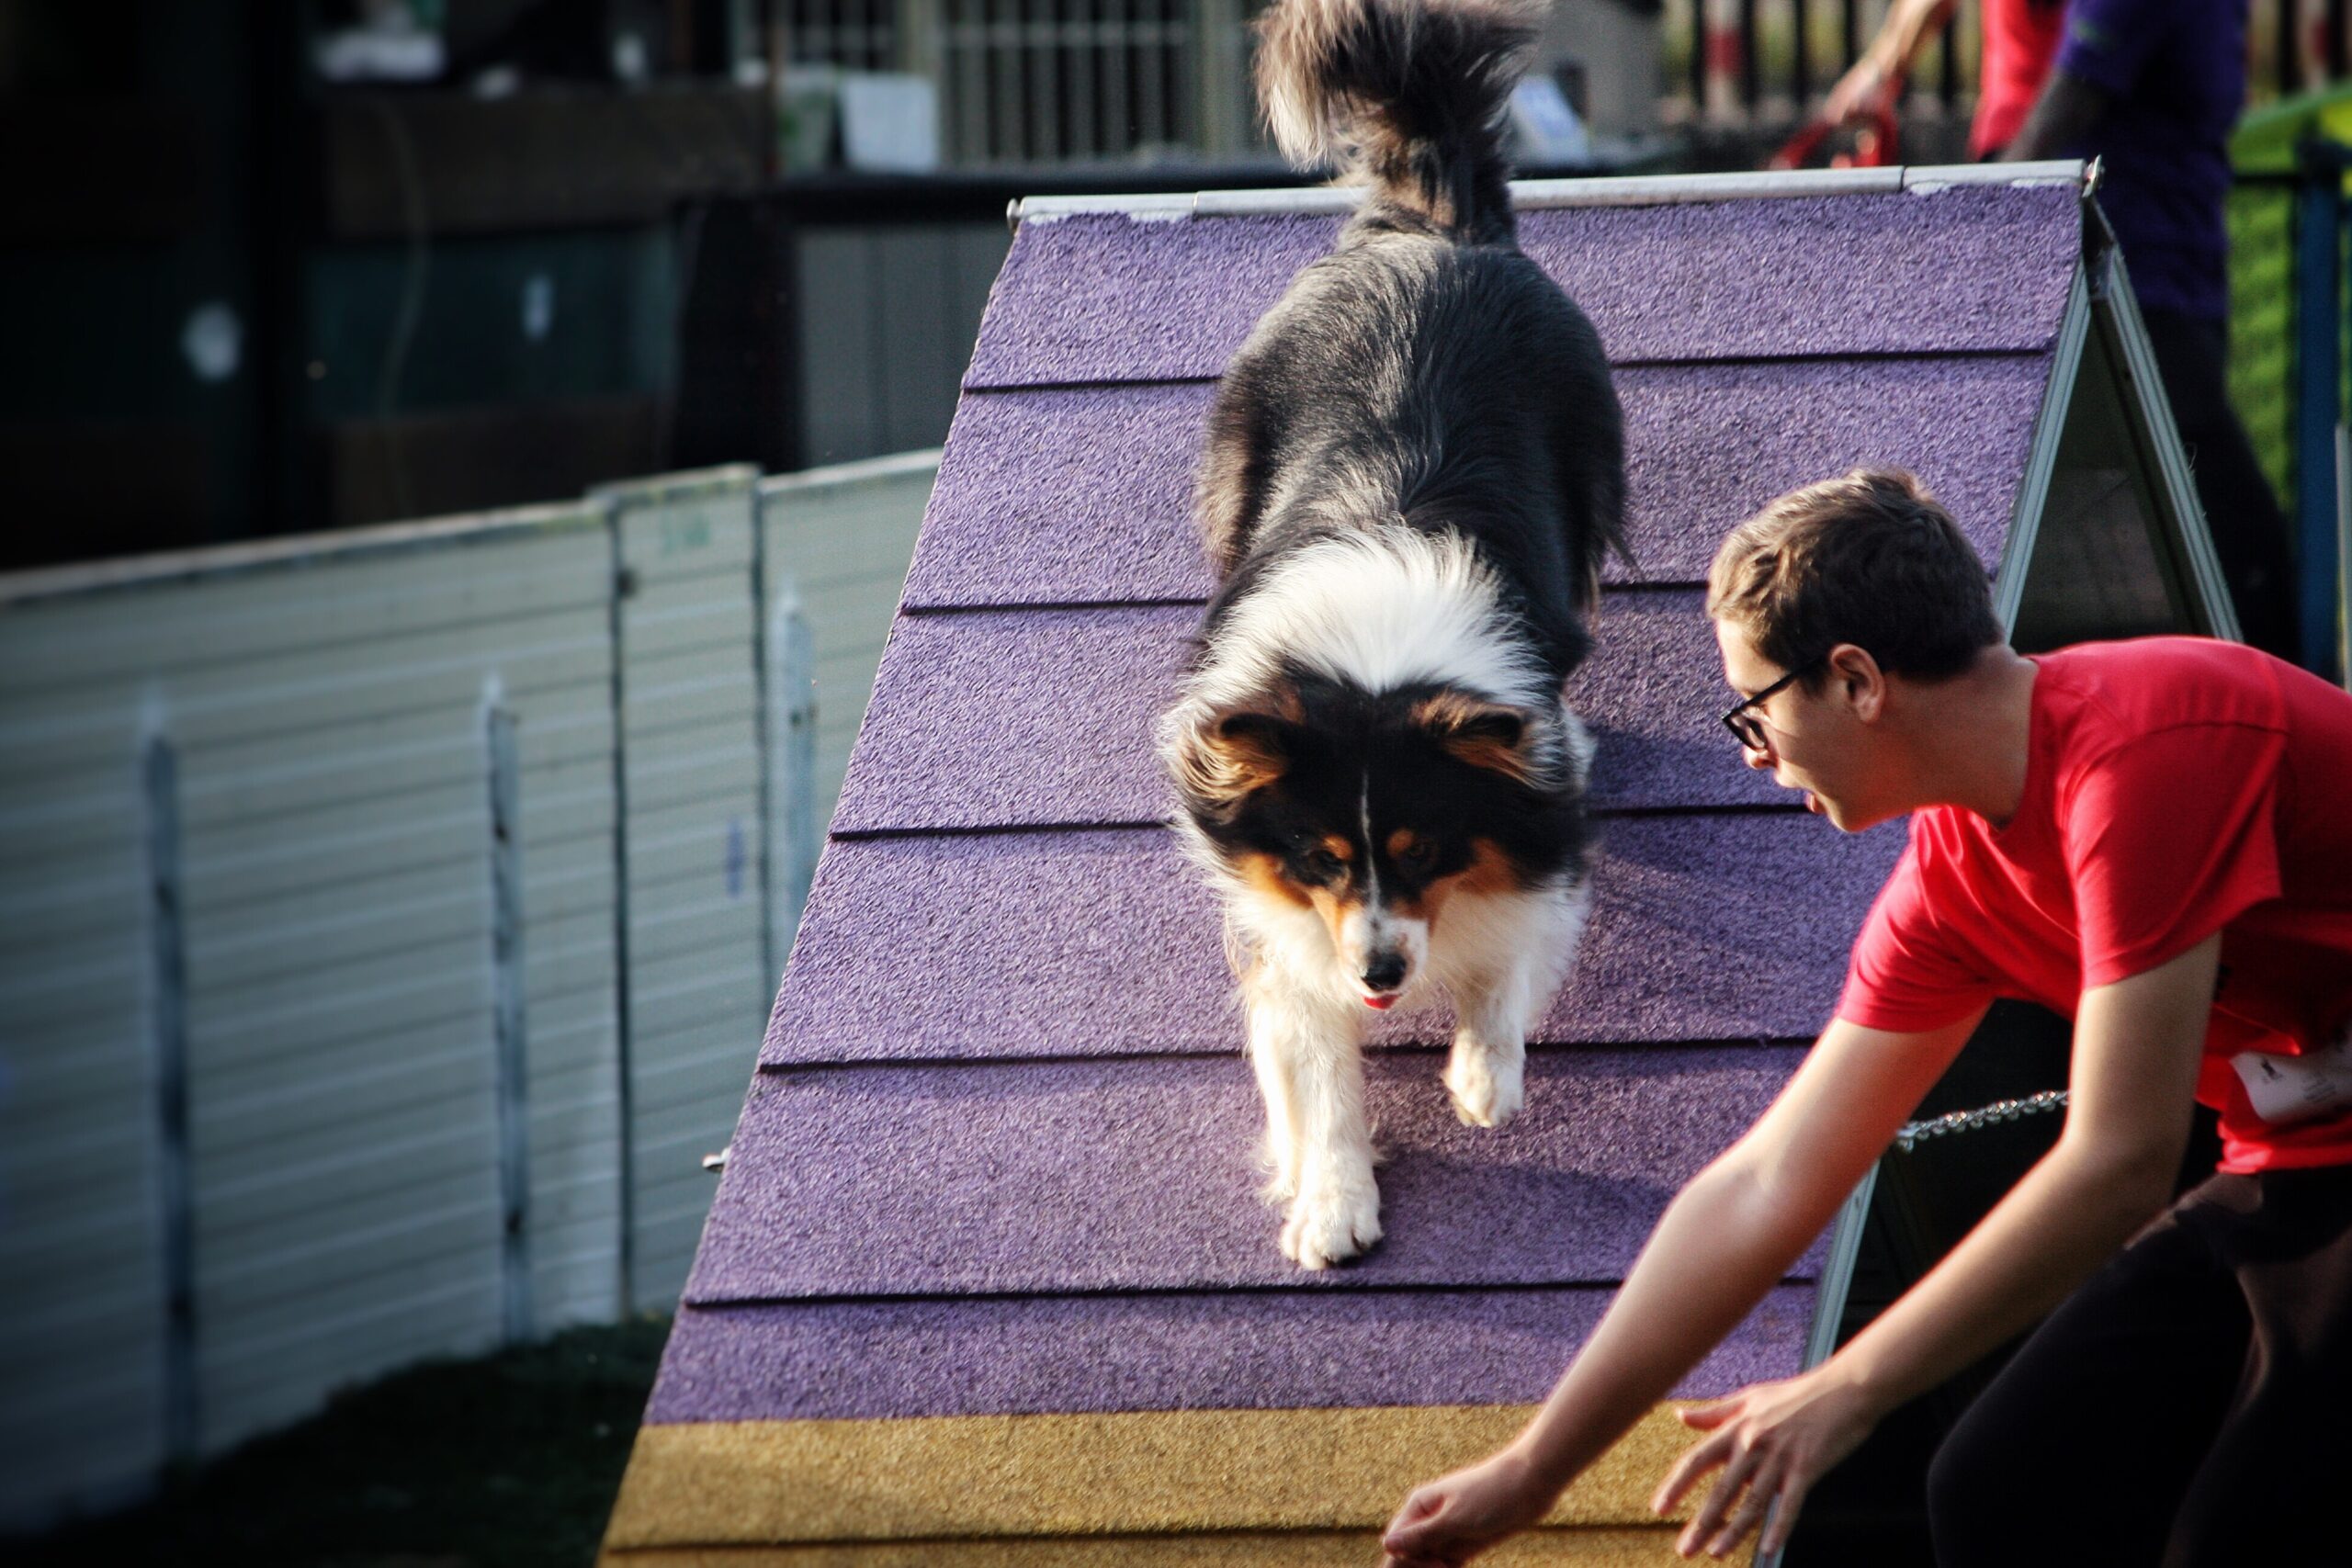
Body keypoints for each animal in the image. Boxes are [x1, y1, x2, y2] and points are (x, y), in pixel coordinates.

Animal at [1152, 0, 1627, 1279]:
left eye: (1424, 850)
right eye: (1319, 858)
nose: (1381, 974)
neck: (1371, 658)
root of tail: (1430, 229)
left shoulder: (1536, 791)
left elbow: (1515, 948)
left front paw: (1480, 1077)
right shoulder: (1285, 928)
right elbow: (1315, 1062)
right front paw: (1331, 1203)